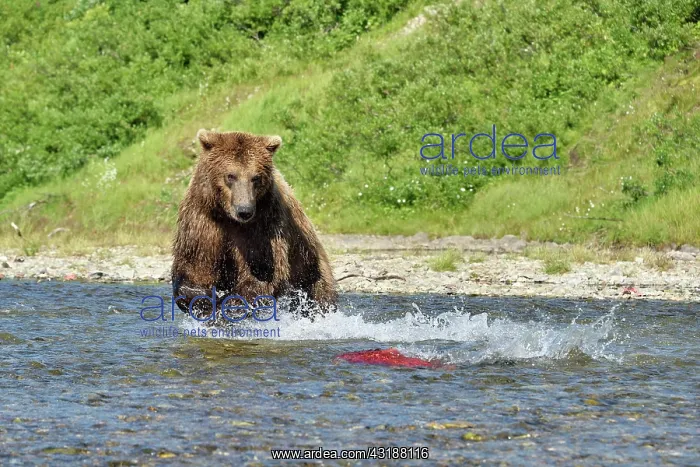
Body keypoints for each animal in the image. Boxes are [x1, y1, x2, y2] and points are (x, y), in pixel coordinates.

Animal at [171, 129, 337, 324]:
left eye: (256, 178)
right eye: (230, 175)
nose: (244, 210)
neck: (228, 216)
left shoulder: (263, 225)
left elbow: (261, 273)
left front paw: (226, 308)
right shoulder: (203, 221)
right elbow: (196, 267)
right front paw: (203, 301)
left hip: (310, 266)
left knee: (318, 297)